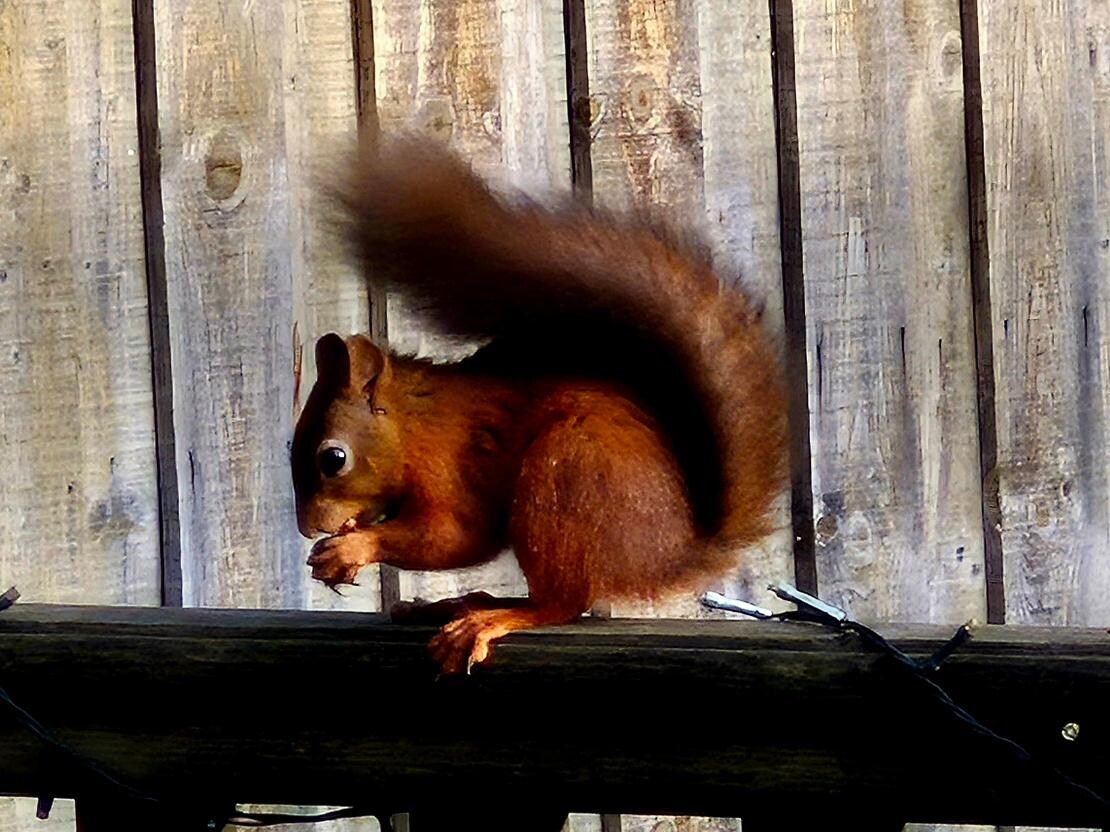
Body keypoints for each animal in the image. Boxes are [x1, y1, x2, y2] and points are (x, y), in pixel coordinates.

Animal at [291, 137, 787, 675]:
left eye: (333, 458)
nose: (307, 527)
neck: (412, 425)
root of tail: (668, 555)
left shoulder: (448, 465)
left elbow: (456, 535)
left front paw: (352, 547)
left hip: (565, 476)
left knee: (560, 602)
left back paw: (488, 619)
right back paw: (456, 605)